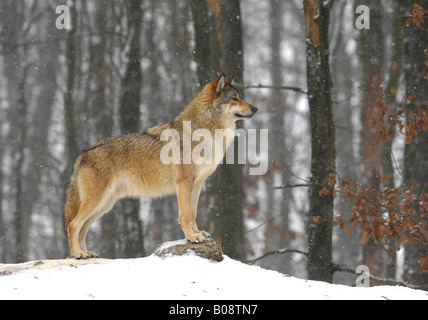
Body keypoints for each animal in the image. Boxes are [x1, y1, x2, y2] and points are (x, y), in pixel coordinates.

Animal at [64, 74, 258, 258]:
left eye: (240, 97)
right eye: (235, 98)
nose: (256, 109)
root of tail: (84, 152)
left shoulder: (197, 184)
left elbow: (193, 212)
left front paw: (197, 234)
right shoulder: (184, 183)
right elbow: (185, 215)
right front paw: (192, 237)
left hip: (104, 205)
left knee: (82, 229)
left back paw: (86, 253)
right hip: (97, 201)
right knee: (73, 225)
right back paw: (78, 254)